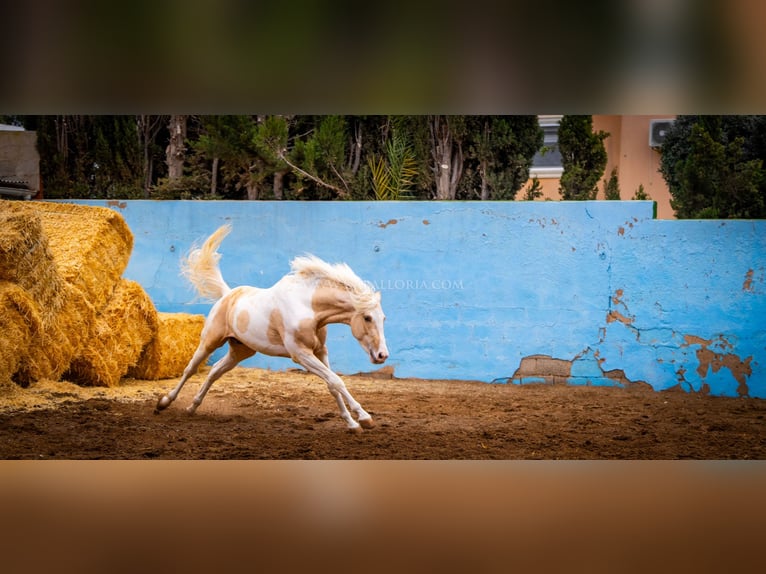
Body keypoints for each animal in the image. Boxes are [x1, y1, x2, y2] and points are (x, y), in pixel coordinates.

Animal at [154, 225, 390, 432]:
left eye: (383, 318)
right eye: (367, 317)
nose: (382, 355)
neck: (307, 306)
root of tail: (227, 295)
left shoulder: (320, 351)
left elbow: (332, 385)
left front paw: (353, 424)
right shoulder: (300, 354)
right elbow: (336, 381)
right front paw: (364, 418)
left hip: (240, 350)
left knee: (214, 372)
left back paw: (193, 406)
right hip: (210, 341)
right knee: (190, 369)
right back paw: (164, 402)